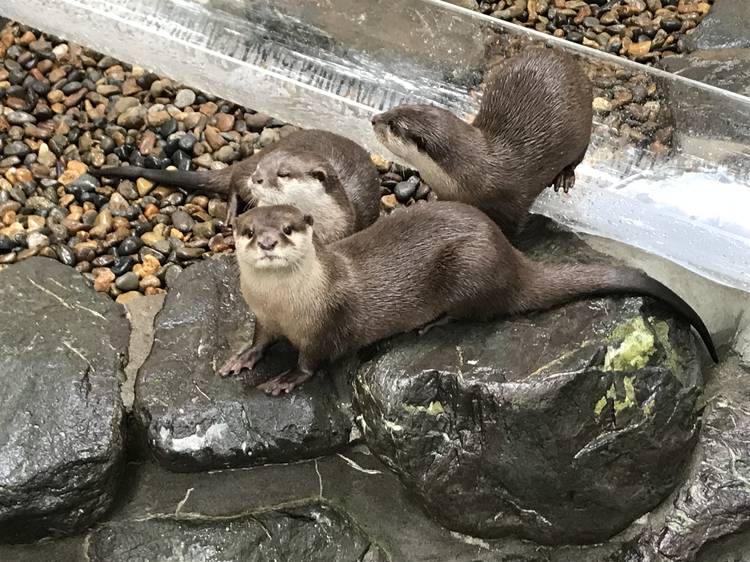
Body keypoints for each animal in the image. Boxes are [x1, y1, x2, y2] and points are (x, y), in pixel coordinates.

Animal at [92, 129, 382, 243]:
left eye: (283, 173)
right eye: (262, 168)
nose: (257, 178)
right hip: (243, 175)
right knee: (233, 184)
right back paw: (230, 217)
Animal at [217, 201, 716, 394]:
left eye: (288, 228)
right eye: (248, 230)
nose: (267, 242)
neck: (286, 305)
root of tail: (512, 260)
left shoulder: (327, 324)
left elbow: (311, 362)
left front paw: (284, 379)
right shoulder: (262, 315)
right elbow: (260, 339)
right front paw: (240, 358)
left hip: (468, 269)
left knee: (476, 311)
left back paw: (430, 323)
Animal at [370, 49, 592, 237]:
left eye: (392, 125)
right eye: (394, 109)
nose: (374, 119)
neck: (478, 173)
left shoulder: (513, 204)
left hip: (584, 131)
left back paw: (565, 177)